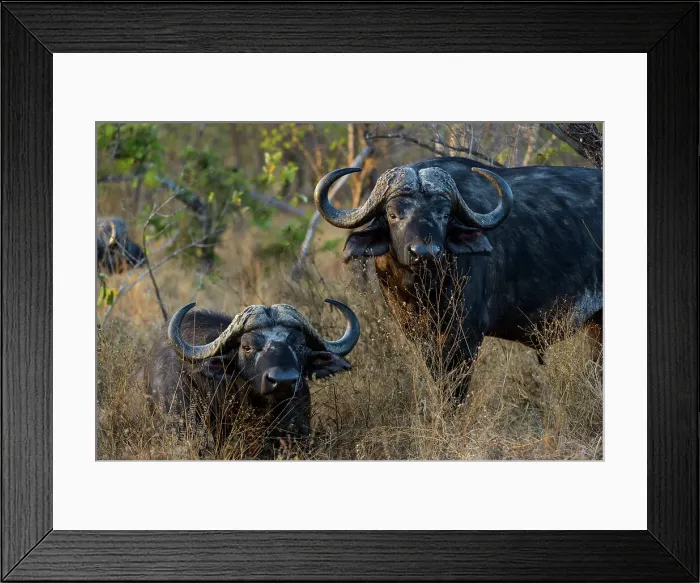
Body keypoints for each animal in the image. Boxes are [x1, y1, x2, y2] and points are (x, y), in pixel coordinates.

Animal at [315, 157, 602, 401]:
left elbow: (454, 390)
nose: (425, 253)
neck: (424, 292)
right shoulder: (419, 336)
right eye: (393, 214)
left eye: (444, 215)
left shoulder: (466, 336)